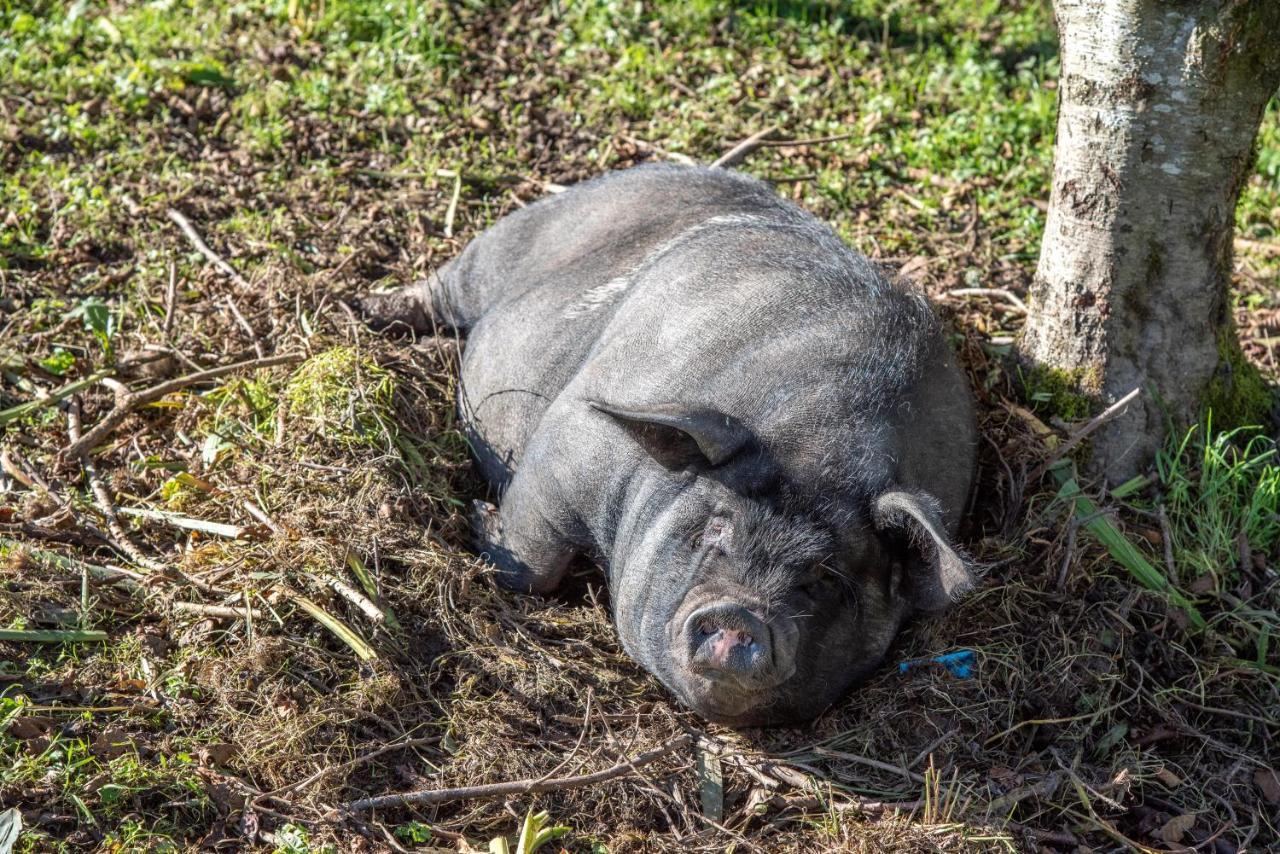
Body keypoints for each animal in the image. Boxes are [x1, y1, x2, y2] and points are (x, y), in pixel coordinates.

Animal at [360, 163, 977, 727]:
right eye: (716, 529)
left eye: (826, 577)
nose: (740, 615)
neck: (821, 441)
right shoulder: (566, 449)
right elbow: (533, 559)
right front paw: (479, 514)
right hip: (507, 245)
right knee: (444, 287)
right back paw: (365, 308)